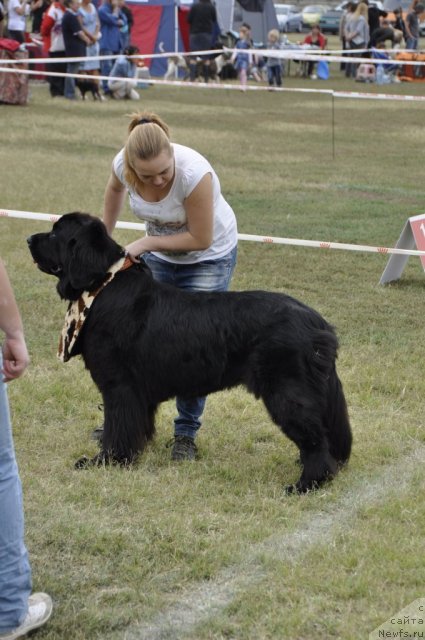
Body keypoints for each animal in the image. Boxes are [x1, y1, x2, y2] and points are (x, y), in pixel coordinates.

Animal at [27, 212, 352, 492]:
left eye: (55, 233)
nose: (29, 238)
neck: (102, 284)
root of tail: (318, 323)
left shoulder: (119, 386)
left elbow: (117, 428)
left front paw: (105, 461)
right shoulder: (138, 393)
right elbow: (136, 426)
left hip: (287, 391)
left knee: (315, 439)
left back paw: (306, 484)